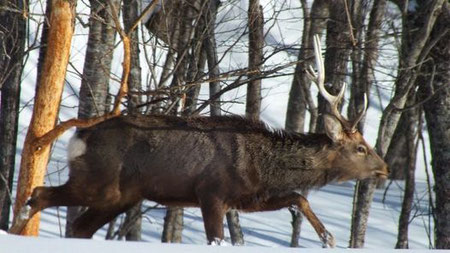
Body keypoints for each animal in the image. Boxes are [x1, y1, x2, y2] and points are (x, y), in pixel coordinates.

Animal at [8, 35, 388, 247]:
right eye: (361, 147)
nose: (384, 169)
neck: (261, 165)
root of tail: (80, 136)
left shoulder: (246, 199)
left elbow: (298, 197)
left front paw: (328, 238)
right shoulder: (211, 192)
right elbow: (217, 239)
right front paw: (329, 237)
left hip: (120, 196)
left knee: (78, 226)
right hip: (97, 184)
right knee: (39, 194)